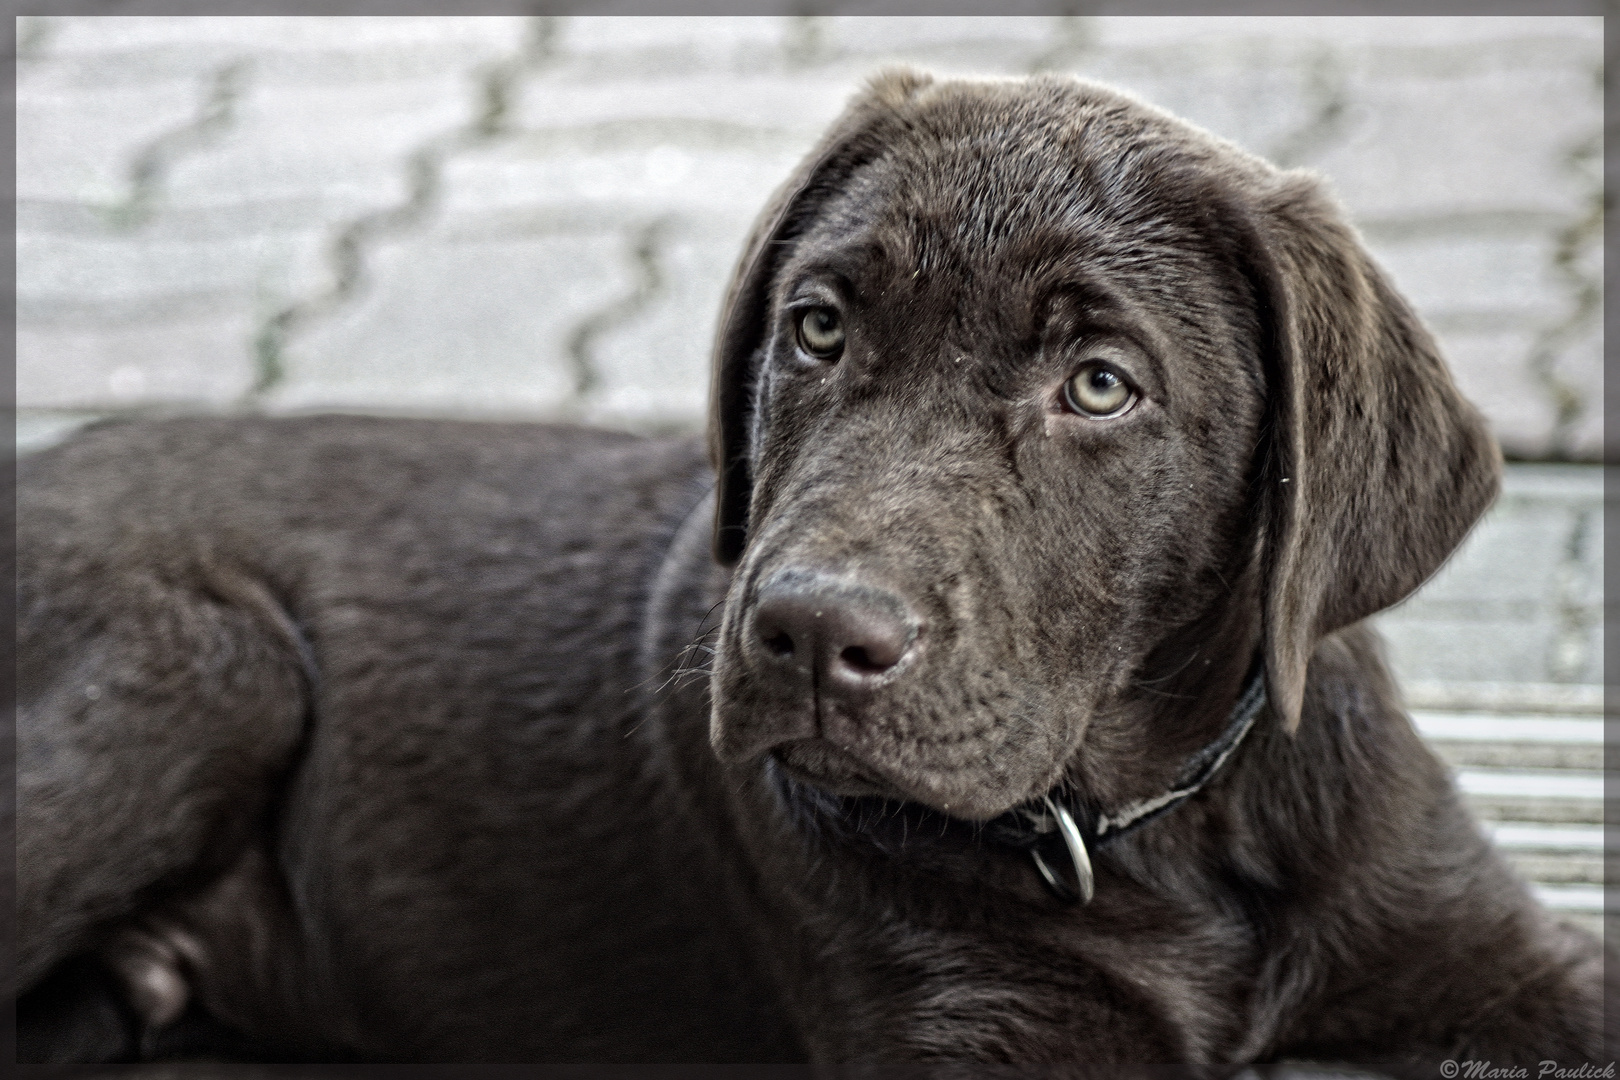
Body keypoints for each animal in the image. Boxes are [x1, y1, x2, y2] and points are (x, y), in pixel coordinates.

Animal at [15, 71, 1620, 1068]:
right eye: (821, 328)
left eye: (1102, 386)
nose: (802, 633)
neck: (1163, 826)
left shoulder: (1504, 958)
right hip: (206, 661)